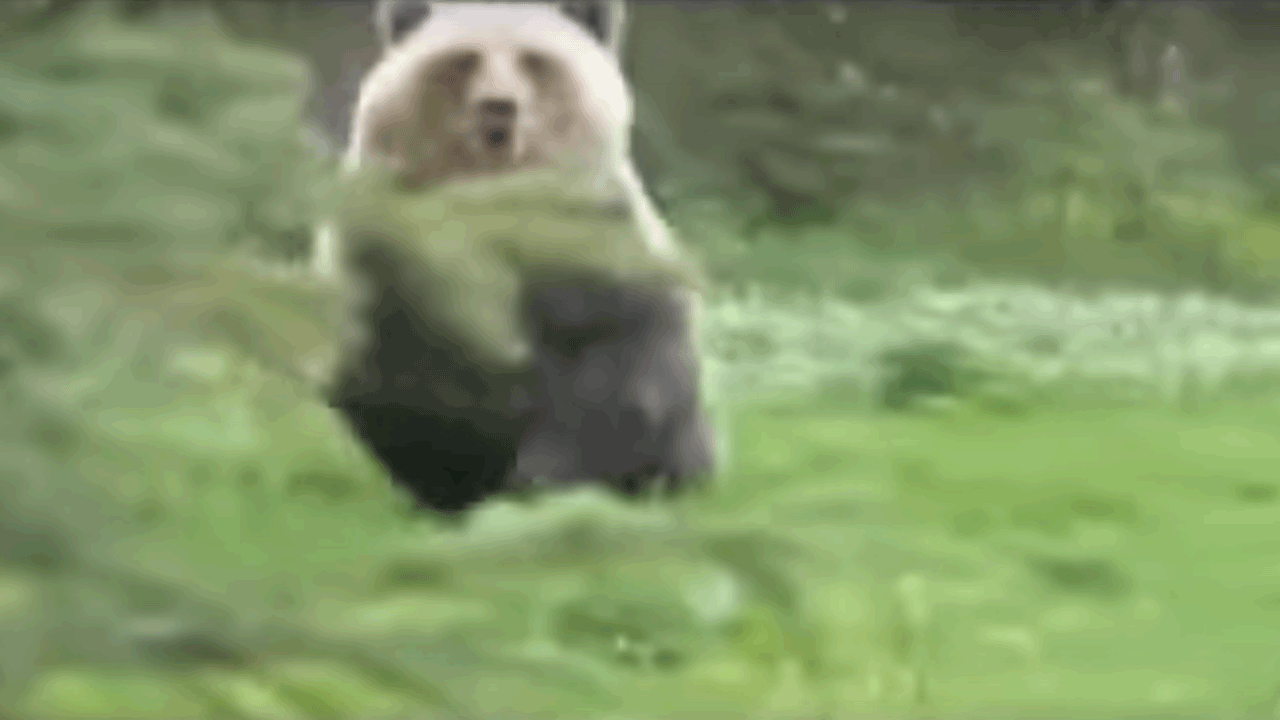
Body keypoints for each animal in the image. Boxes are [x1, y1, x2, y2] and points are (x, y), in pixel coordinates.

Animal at [319, 0, 717, 513]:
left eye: (534, 61)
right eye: (464, 59)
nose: (498, 105)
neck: (493, 199)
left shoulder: (594, 261)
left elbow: (607, 384)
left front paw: (543, 487)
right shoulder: (391, 265)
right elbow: (400, 386)